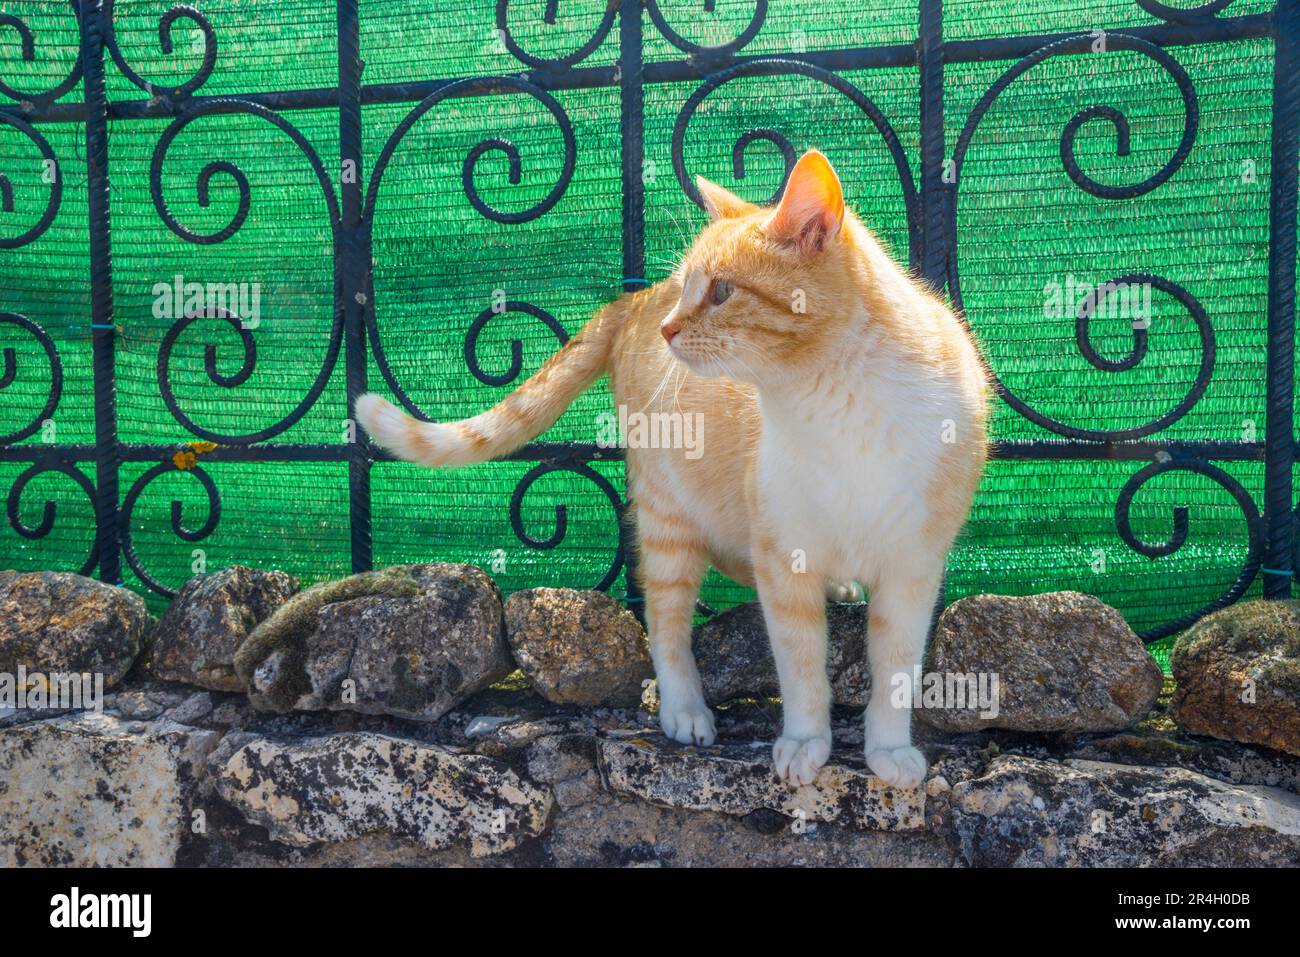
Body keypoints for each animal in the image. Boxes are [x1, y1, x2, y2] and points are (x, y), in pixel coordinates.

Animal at [356, 149, 982, 790]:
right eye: (690, 289)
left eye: (723, 291)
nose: (669, 329)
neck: (836, 401)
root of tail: (636, 300)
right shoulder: (783, 556)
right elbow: (801, 663)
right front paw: (807, 742)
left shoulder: (913, 568)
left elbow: (897, 668)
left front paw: (889, 749)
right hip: (668, 518)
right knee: (666, 620)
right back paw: (685, 709)